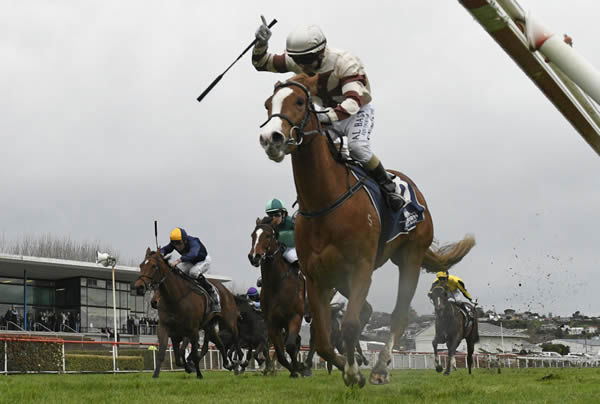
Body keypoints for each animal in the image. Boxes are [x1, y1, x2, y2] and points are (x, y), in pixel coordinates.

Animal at [134, 248, 241, 378]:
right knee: (219, 343)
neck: (175, 299)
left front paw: (198, 374)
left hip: (229, 321)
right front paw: (155, 375)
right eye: (141, 265)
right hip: (209, 326)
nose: (139, 287)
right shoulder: (167, 329)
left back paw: (239, 361)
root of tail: (226, 290)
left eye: (154, 266)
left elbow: (192, 353)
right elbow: (167, 354)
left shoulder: (192, 330)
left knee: (235, 338)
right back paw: (227, 364)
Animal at [247, 218, 304, 378]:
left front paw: (298, 369)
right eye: (252, 235)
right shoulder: (272, 323)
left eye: (267, 236)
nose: (254, 257)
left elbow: (290, 346)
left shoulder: (296, 316)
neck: (277, 284)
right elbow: (279, 353)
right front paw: (293, 370)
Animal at [258, 73, 478, 388]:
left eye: (299, 101)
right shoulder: (315, 277)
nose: (270, 138)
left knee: (398, 316)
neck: (325, 201)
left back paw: (380, 368)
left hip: (409, 258)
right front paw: (344, 366)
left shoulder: (361, 267)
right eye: (268, 104)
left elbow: (349, 326)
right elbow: (323, 341)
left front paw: (354, 372)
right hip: (343, 279)